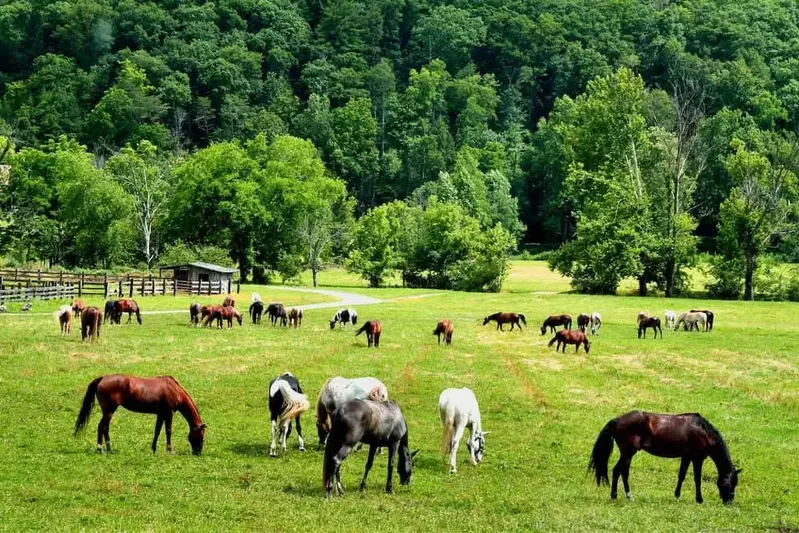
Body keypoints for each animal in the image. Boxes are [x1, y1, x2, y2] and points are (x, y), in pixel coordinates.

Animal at [74, 374, 207, 455]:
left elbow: (157, 431)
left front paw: (153, 449)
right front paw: (169, 450)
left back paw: (110, 449)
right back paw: (100, 449)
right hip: (109, 411)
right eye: (201, 435)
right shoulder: (169, 413)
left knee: (105, 428)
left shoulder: (161, 414)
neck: (174, 390)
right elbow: (168, 431)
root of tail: (102, 378)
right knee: (101, 427)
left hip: (108, 412)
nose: (198, 453)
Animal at [589, 411, 741, 504]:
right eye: (730, 483)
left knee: (622, 472)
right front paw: (699, 500)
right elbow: (697, 479)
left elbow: (681, 476)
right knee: (618, 471)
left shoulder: (686, 457)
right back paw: (618, 496)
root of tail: (617, 420)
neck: (703, 431)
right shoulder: (697, 459)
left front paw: (677, 496)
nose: (730, 502)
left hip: (628, 454)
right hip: (628, 453)